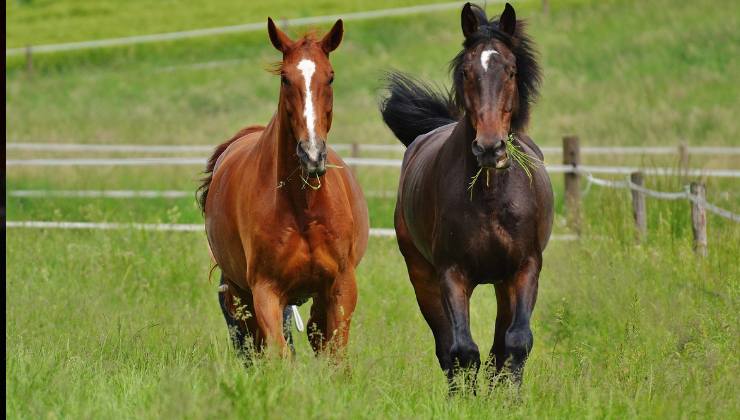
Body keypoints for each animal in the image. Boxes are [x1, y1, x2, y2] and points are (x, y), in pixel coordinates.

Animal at [198, 18, 369, 359]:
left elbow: (335, 355)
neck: (303, 207)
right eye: (285, 79)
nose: (312, 154)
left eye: (330, 76)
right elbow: (279, 354)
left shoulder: (341, 287)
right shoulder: (266, 291)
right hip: (241, 294)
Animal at [380, 2, 552, 391]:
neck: (490, 197)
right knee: (447, 347)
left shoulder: (525, 268)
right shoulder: (451, 273)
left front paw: (510, 397)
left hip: (503, 283)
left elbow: (516, 342)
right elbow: (462, 349)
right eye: (466, 71)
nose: (489, 148)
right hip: (423, 276)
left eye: (511, 70)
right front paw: (467, 399)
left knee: (499, 344)